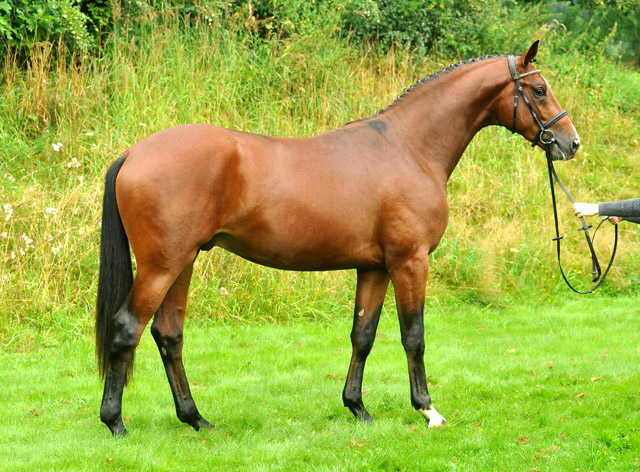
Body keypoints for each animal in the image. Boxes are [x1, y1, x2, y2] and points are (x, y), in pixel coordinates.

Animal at [95, 40, 580, 436]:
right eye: (539, 90)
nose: (570, 143)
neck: (409, 147)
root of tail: (133, 153)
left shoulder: (374, 266)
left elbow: (362, 334)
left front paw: (357, 408)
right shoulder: (410, 261)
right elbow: (414, 334)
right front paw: (428, 410)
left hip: (184, 261)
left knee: (168, 334)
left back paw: (195, 418)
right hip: (163, 265)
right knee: (126, 328)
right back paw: (115, 422)